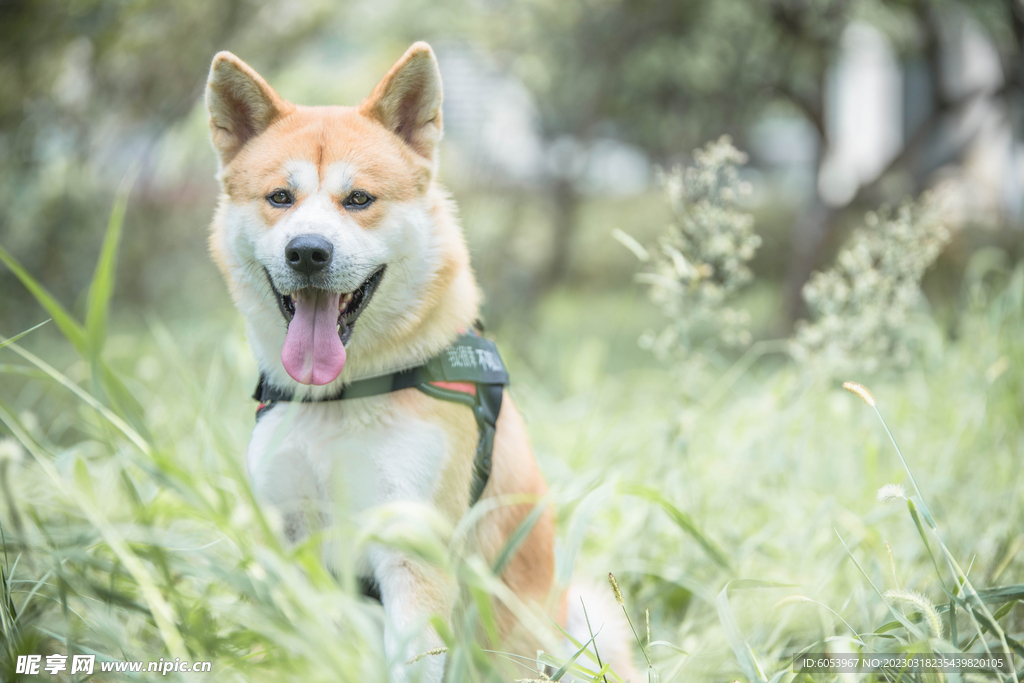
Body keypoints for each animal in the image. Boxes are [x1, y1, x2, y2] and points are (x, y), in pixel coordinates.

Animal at [201, 44, 630, 683]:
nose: (307, 252)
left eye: (359, 199)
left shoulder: (413, 556)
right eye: (280, 198)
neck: (343, 396)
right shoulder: (292, 547)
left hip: (584, 618)